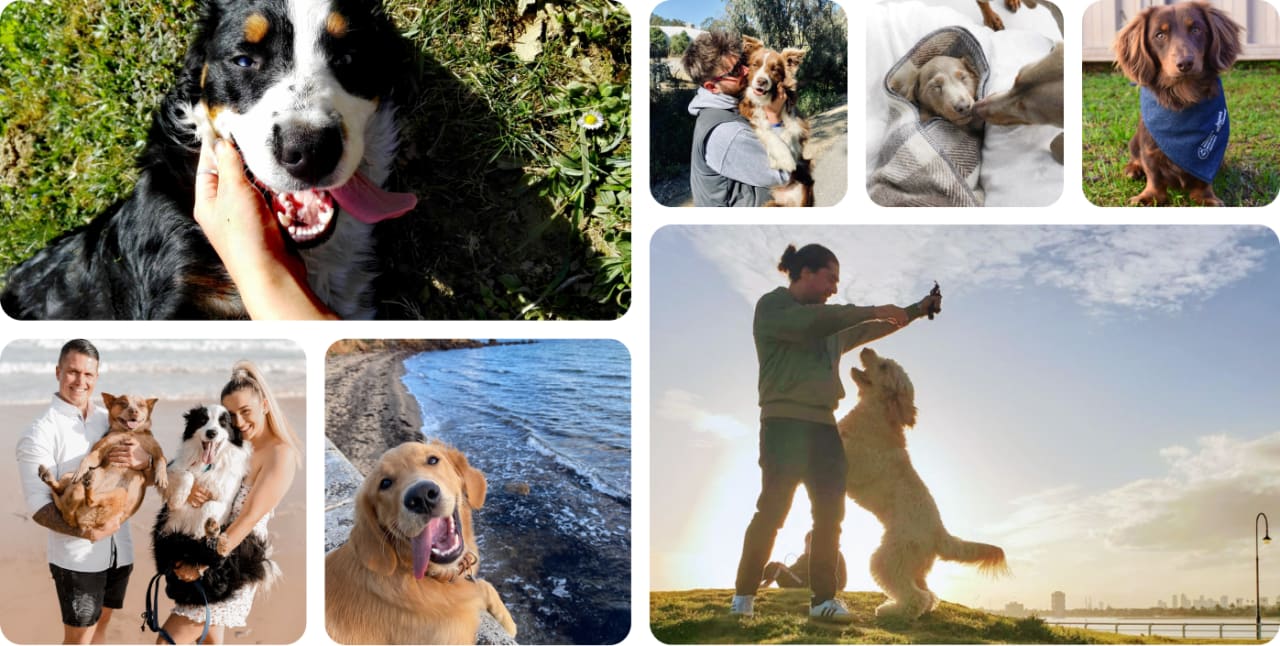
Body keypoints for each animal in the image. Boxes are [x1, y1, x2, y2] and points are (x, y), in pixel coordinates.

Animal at [152, 404, 275, 601]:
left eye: (223, 422)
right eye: (203, 420)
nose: (211, 433)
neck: (208, 464)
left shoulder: (226, 497)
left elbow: (211, 505)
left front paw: (202, 528)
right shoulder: (171, 468)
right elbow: (186, 475)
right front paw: (178, 500)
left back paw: (213, 537)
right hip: (162, 535)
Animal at [839, 347, 1008, 619]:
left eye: (884, 366)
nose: (866, 348)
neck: (878, 416)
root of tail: (940, 533)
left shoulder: (855, 458)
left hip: (890, 558)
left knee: (916, 597)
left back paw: (891, 610)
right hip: (914, 565)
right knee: (928, 595)